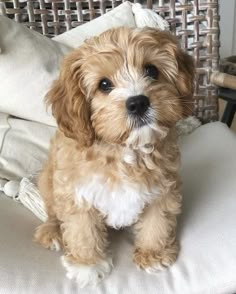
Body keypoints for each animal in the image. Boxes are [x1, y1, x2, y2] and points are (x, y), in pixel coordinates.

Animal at [34, 27, 194, 288]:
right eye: (104, 85)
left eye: (151, 70)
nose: (138, 102)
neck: (126, 151)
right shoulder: (77, 194)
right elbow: (83, 231)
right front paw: (88, 266)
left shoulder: (163, 190)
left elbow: (157, 223)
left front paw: (152, 254)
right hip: (47, 182)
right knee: (53, 213)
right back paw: (52, 231)